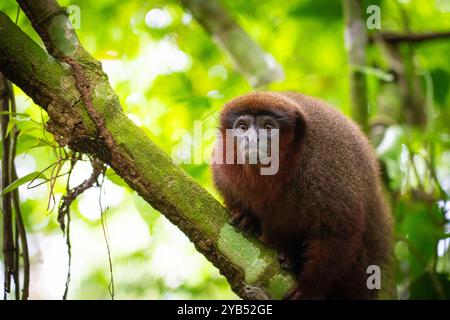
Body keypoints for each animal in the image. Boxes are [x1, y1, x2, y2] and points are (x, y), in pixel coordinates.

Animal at [213, 90, 392, 300]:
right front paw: (247, 217)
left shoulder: (325, 168)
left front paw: (310, 287)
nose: (252, 139)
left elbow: (339, 231)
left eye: (268, 127)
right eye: (242, 127)